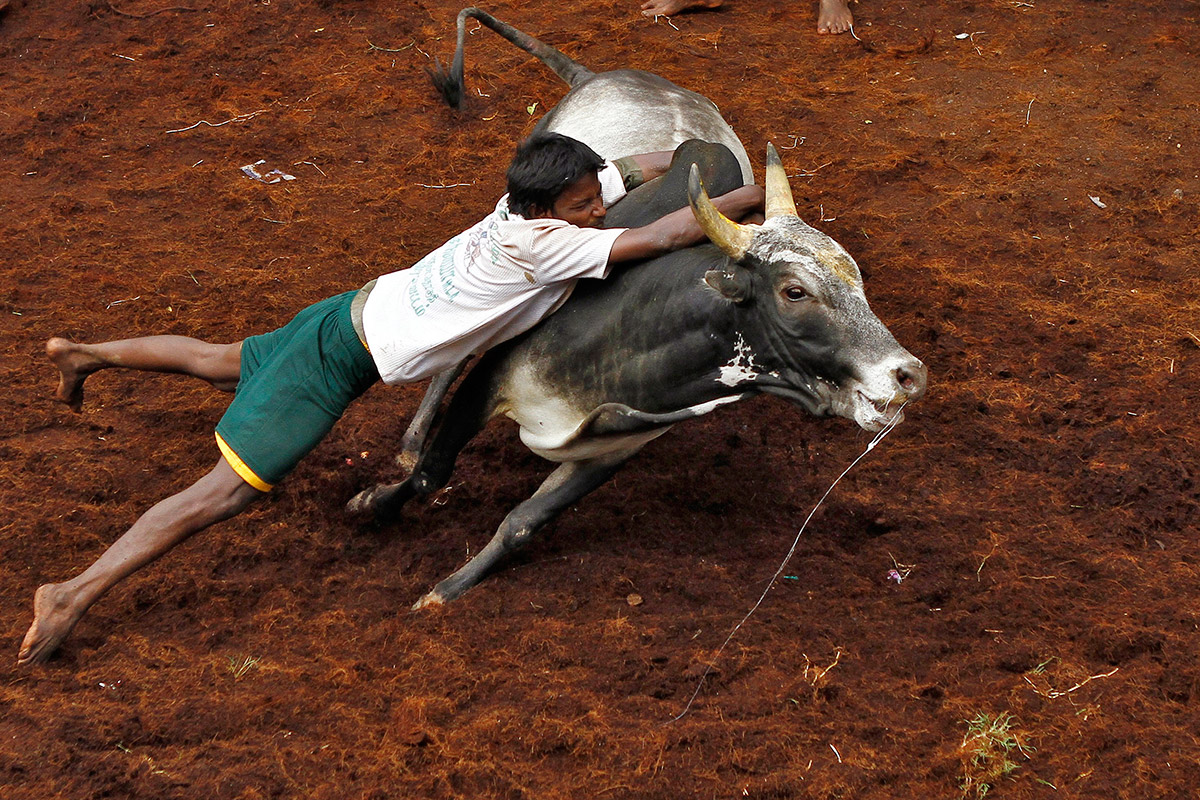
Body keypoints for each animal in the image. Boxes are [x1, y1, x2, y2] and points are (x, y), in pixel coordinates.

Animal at [348, 9, 928, 609]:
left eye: (857, 280)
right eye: (795, 292)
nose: (909, 375)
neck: (629, 345)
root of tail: (600, 75)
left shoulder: (612, 451)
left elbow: (522, 522)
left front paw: (450, 588)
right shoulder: (491, 383)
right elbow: (433, 472)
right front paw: (375, 505)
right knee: (453, 355)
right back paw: (411, 440)